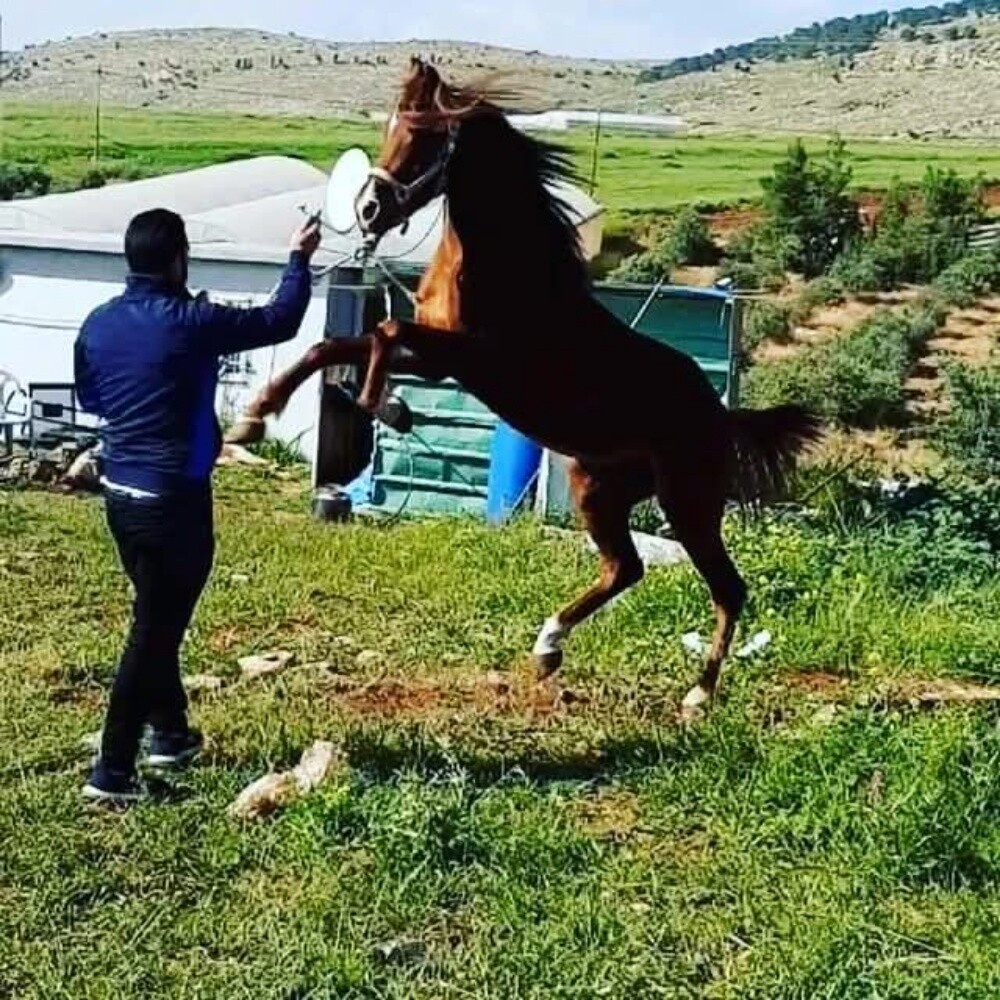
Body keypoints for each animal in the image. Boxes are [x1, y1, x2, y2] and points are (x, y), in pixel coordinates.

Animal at [228, 58, 821, 719]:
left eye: (426, 134)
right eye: (389, 125)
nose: (370, 211)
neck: (504, 267)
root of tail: (720, 415)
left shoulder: (470, 357)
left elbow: (383, 330)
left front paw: (384, 405)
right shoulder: (436, 356)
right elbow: (331, 348)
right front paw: (255, 417)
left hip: (688, 502)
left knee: (726, 587)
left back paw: (697, 693)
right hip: (598, 488)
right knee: (625, 568)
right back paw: (548, 648)